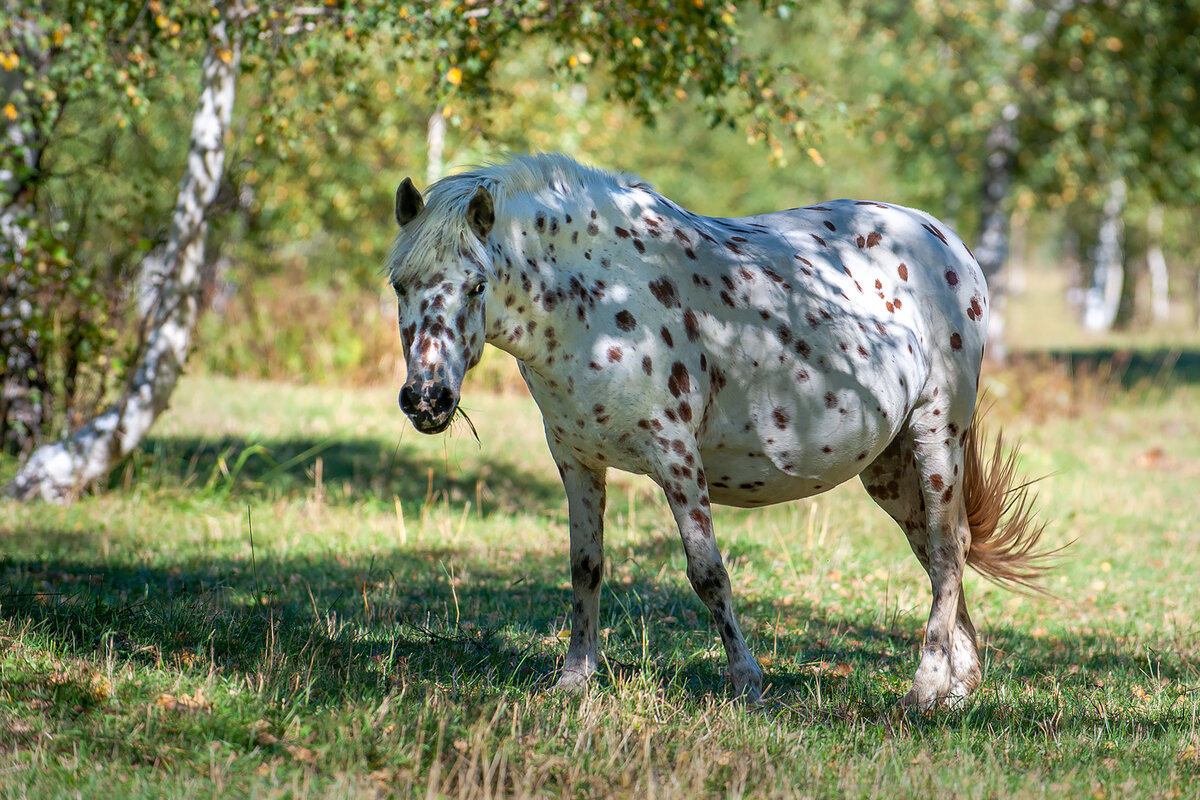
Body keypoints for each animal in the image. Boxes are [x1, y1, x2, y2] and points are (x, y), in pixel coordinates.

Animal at [384, 153, 1051, 710]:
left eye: (476, 284)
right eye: (399, 284)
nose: (427, 399)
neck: (595, 303)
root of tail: (949, 243)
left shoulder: (675, 457)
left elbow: (707, 573)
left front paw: (748, 684)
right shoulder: (576, 460)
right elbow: (585, 567)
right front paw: (575, 679)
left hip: (938, 434)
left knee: (946, 548)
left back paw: (926, 687)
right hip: (888, 467)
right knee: (938, 552)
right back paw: (959, 685)